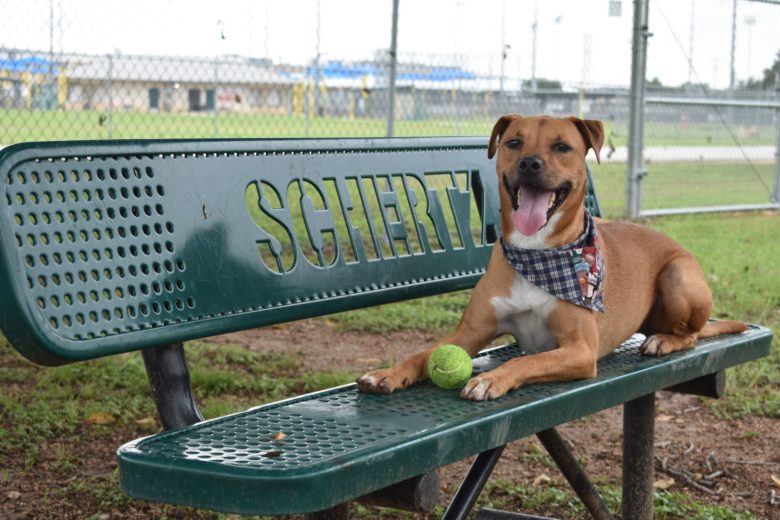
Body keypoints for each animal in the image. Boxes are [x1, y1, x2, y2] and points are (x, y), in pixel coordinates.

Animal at [356, 115, 748, 402]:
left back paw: (664, 341)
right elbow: (424, 353)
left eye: (562, 147)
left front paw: (491, 379)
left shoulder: (581, 349)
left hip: (678, 275)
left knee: (692, 335)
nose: (530, 163)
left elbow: (529, 359)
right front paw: (387, 373)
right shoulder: (469, 332)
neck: (538, 251)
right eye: (514, 142)